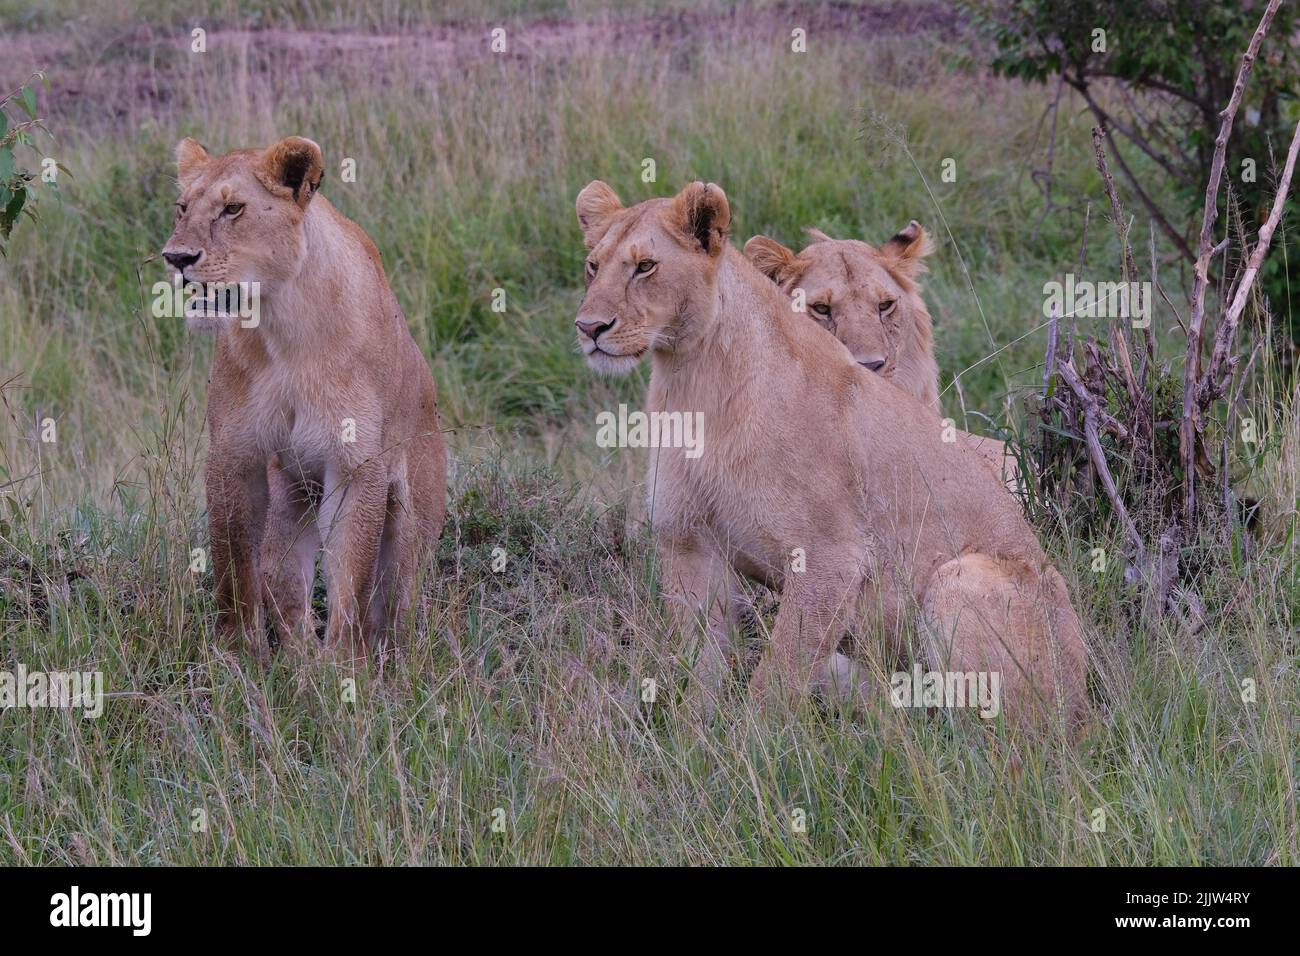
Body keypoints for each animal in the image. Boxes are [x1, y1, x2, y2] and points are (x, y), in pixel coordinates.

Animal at [162, 136, 447, 661]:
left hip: (413, 518)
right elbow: (233, 563)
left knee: (398, 596)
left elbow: (352, 577)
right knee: (280, 576)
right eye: (182, 208)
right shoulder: (234, 452)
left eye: (233, 209)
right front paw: (239, 654)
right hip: (291, 495)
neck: (282, 326)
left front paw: (347, 666)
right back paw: (299, 661)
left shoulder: (357, 465)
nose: (176, 258)